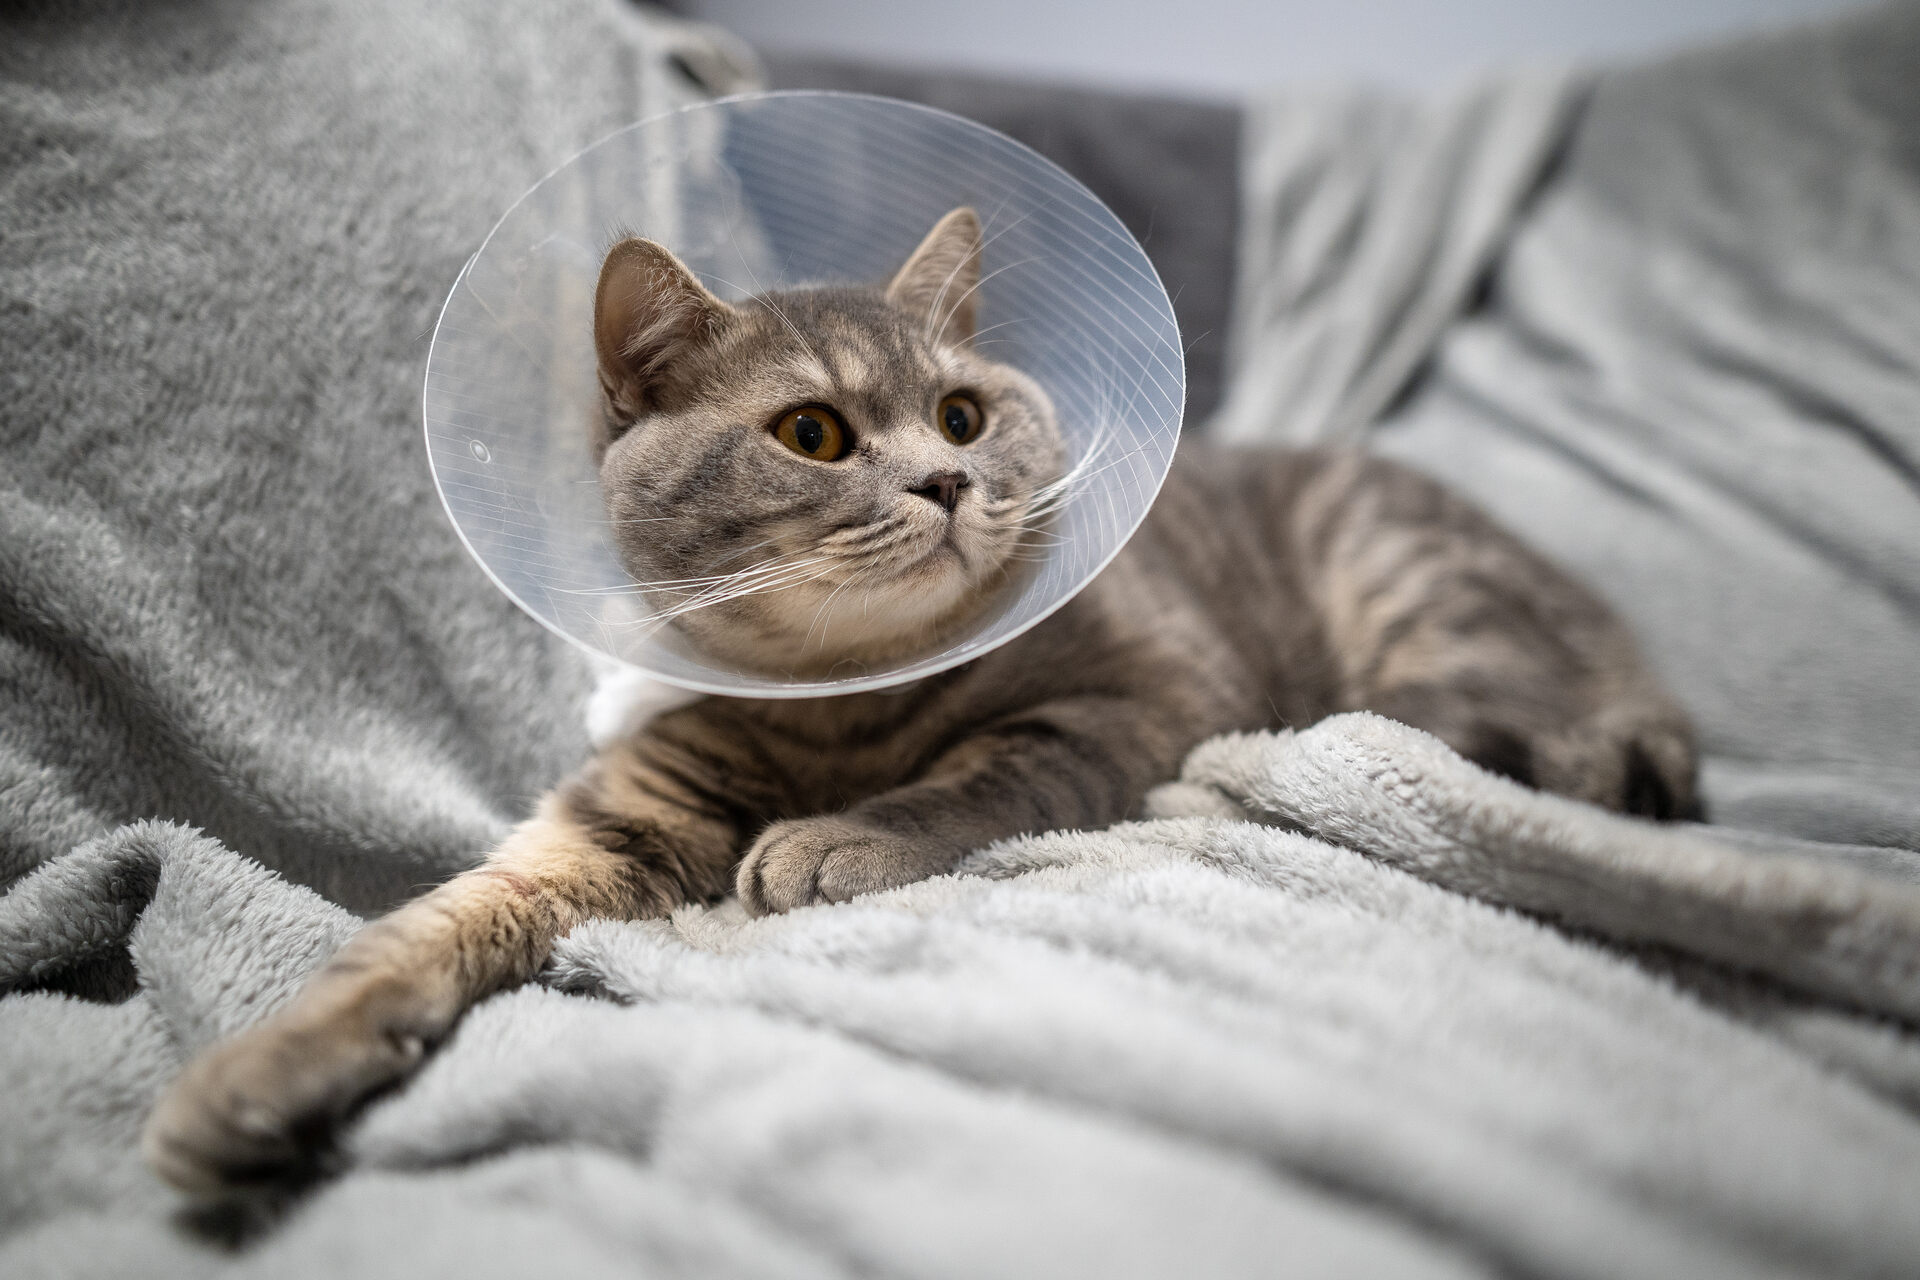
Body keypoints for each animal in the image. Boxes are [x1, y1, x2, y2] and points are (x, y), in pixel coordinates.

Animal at [139, 205, 1697, 1197]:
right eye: (813, 433)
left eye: (961, 415)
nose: (947, 480)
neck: (837, 705)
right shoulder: (615, 816)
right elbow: (426, 926)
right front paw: (265, 1069)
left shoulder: (1132, 698)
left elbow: (979, 774)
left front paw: (843, 835)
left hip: (1412, 600)